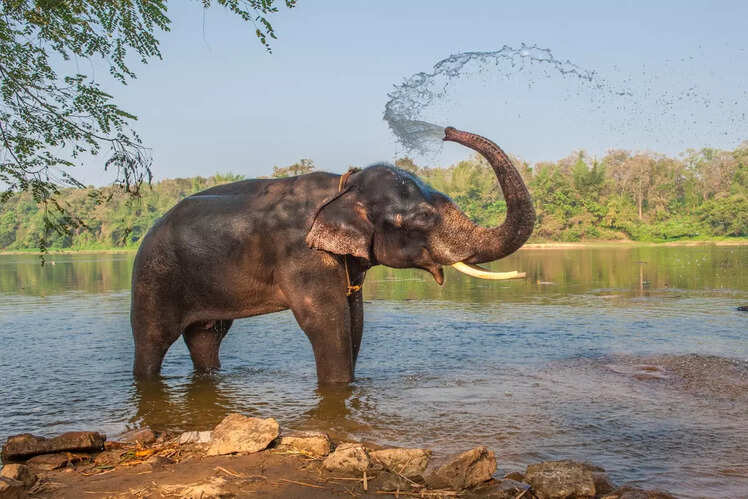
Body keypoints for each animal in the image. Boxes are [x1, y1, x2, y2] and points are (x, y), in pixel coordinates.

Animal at [130, 127, 535, 384]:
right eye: (422, 218)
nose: (447, 131)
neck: (344, 186)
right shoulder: (301, 254)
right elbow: (326, 321)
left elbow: (355, 319)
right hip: (154, 275)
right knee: (153, 338)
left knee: (207, 336)